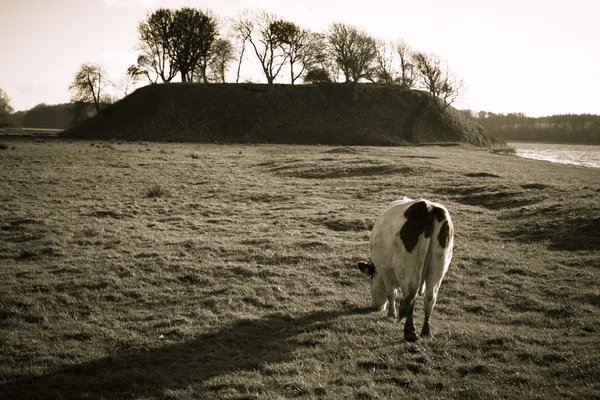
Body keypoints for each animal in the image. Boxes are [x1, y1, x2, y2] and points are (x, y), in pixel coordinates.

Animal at [356, 197, 454, 340]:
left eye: (371, 280)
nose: (375, 307)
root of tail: (426, 207)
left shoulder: (385, 271)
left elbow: (391, 293)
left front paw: (391, 314)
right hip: (438, 267)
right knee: (430, 297)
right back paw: (426, 332)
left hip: (406, 270)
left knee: (410, 297)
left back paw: (410, 332)